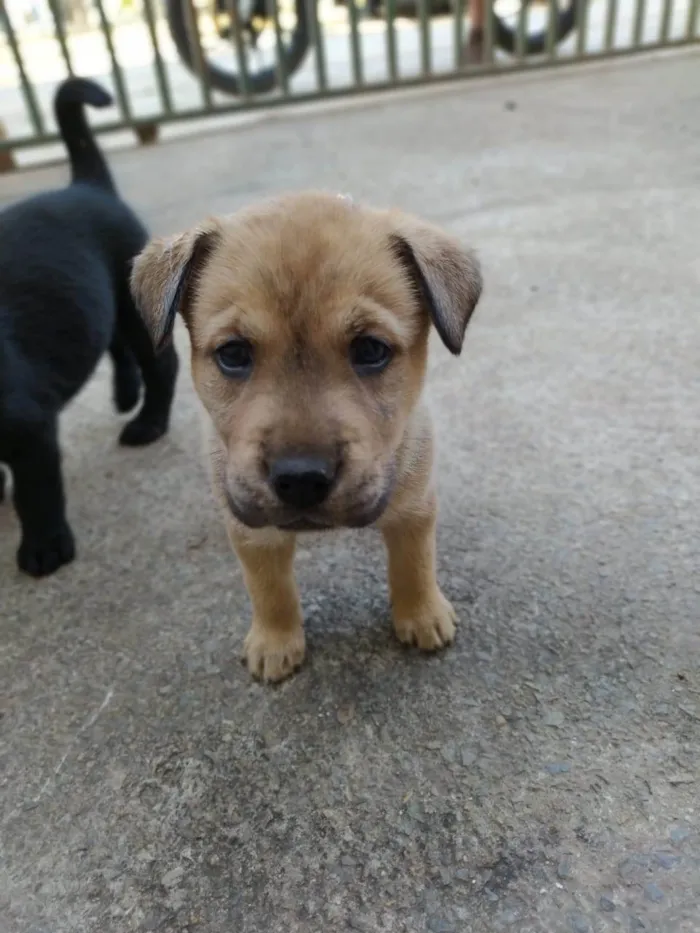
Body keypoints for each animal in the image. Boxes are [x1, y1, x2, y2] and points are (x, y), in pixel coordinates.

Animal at [0, 78, 178, 576]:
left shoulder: (28, 428)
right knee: (114, 346)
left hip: (134, 306)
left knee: (161, 365)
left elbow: (35, 493)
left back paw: (147, 422)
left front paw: (44, 548)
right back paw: (125, 395)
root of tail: (86, 185)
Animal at [130, 191, 482, 684]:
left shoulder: (414, 508)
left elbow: (414, 564)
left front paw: (422, 614)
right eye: (233, 354)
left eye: (370, 350)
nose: (300, 479)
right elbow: (270, 589)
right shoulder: (253, 533)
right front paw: (275, 642)